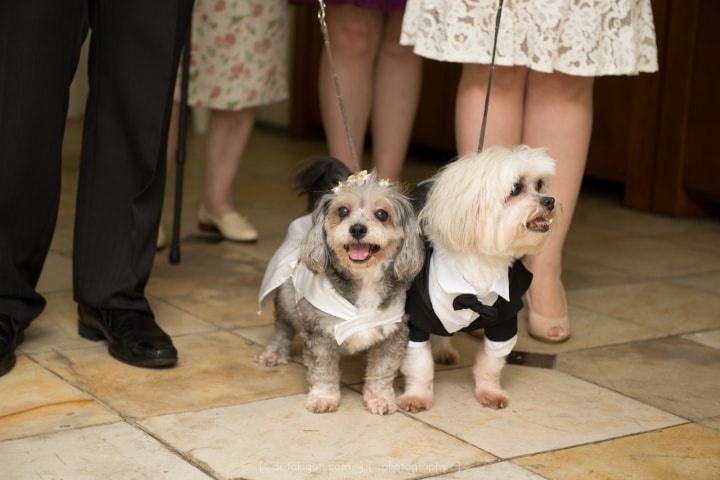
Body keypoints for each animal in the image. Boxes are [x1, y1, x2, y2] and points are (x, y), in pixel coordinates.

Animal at [258, 159, 422, 414]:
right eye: (343, 211)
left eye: (382, 214)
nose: (357, 229)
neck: (365, 280)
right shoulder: (320, 333)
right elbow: (323, 370)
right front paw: (324, 397)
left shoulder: (393, 334)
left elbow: (381, 371)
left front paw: (379, 398)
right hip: (286, 297)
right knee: (283, 328)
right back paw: (274, 353)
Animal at [394, 146, 556, 412]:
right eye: (516, 189)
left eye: (540, 185)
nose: (550, 200)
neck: (480, 266)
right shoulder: (415, 320)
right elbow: (420, 365)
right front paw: (417, 396)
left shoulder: (504, 322)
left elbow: (491, 363)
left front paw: (490, 392)